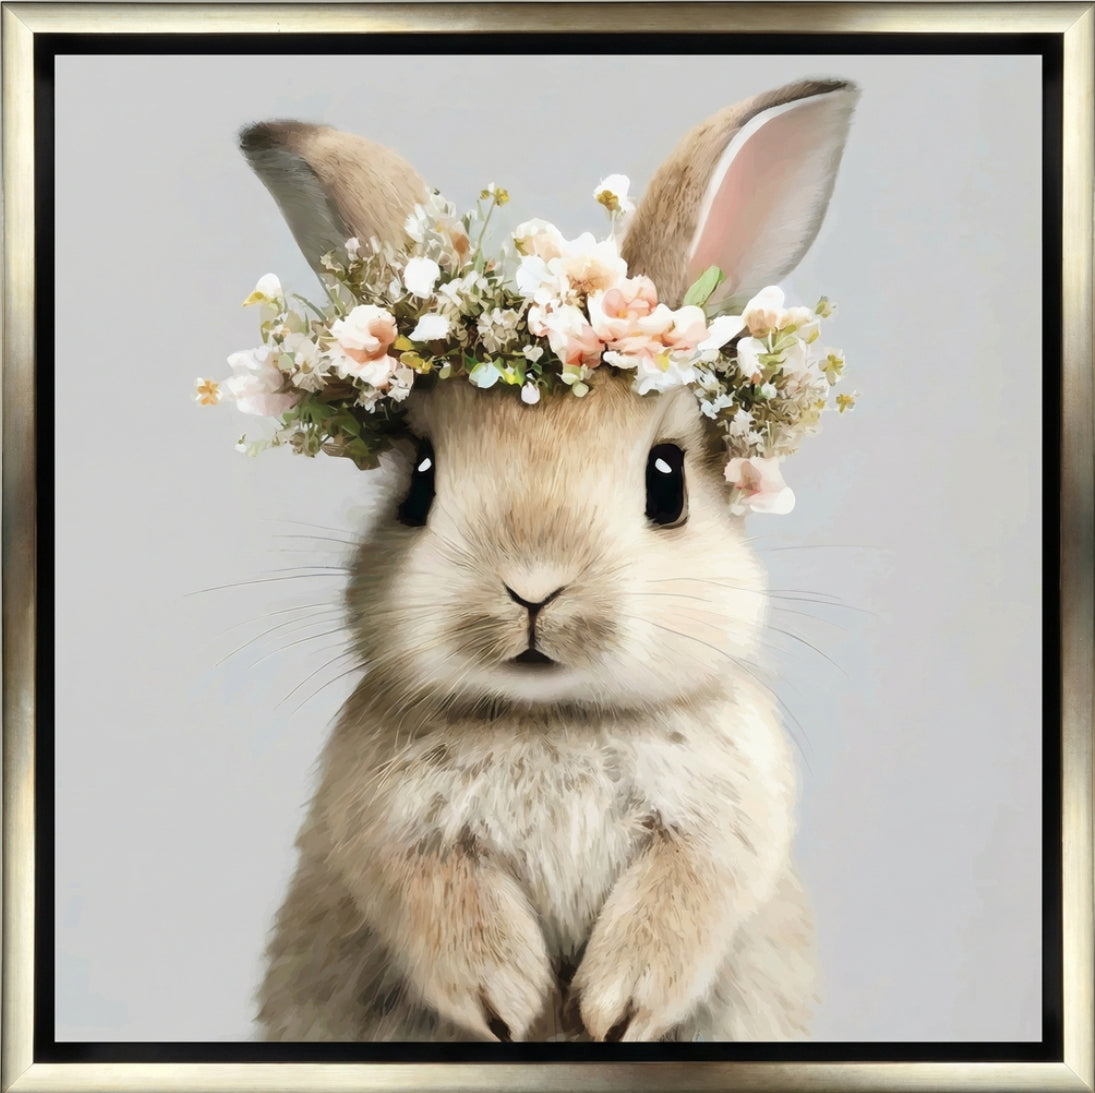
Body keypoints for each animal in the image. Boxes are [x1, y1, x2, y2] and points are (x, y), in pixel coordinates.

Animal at [243, 77, 859, 1043]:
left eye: (666, 484)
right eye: (419, 482)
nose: (531, 586)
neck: (553, 717)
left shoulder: (724, 824)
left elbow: (684, 894)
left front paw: (614, 1009)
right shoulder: (387, 830)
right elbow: (436, 897)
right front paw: (508, 1003)